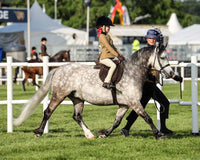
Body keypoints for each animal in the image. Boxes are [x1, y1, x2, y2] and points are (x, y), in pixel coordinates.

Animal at [14, 44, 176, 139]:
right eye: (162, 57)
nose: (170, 74)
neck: (132, 72)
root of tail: (59, 69)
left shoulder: (125, 104)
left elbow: (117, 121)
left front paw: (105, 134)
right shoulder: (134, 103)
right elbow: (147, 118)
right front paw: (158, 134)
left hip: (78, 99)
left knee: (77, 116)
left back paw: (89, 134)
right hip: (59, 95)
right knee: (48, 111)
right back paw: (39, 132)